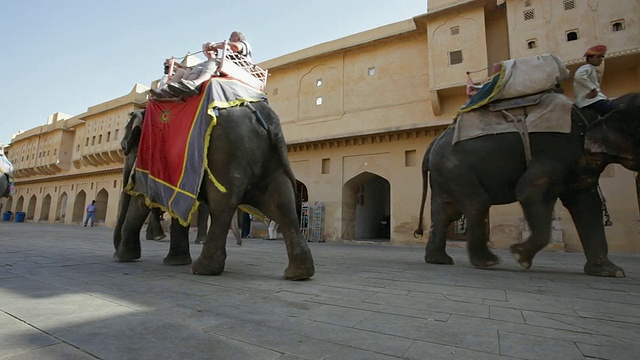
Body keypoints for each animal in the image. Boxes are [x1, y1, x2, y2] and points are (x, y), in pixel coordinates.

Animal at [115, 102, 316, 282]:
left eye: (125, 147)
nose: (115, 250)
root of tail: (263, 116)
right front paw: (175, 262)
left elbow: (141, 197)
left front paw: (123, 258)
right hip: (269, 160)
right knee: (282, 203)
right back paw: (298, 274)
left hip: (225, 154)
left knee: (223, 207)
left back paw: (202, 269)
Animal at [416, 91, 640, 278]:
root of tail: (434, 142)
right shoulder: (558, 147)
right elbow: (529, 191)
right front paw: (519, 256)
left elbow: (587, 204)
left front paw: (612, 272)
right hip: (454, 166)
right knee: (476, 204)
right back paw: (488, 262)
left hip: (446, 172)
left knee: (446, 212)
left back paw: (440, 260)